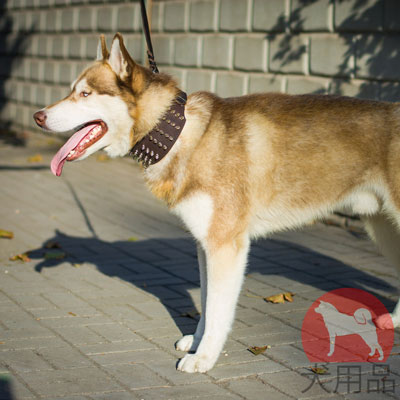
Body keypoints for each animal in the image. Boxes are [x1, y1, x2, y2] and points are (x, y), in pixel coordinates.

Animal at [33, 33, 400, 372]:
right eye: (71, 90)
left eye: (84, 94)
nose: (38, 116)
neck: (180, 133)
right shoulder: (204, 244)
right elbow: (207, 304)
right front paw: (196, 343)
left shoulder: (226, 246)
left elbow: (218, 310)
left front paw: (204, 357)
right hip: (383, 229)